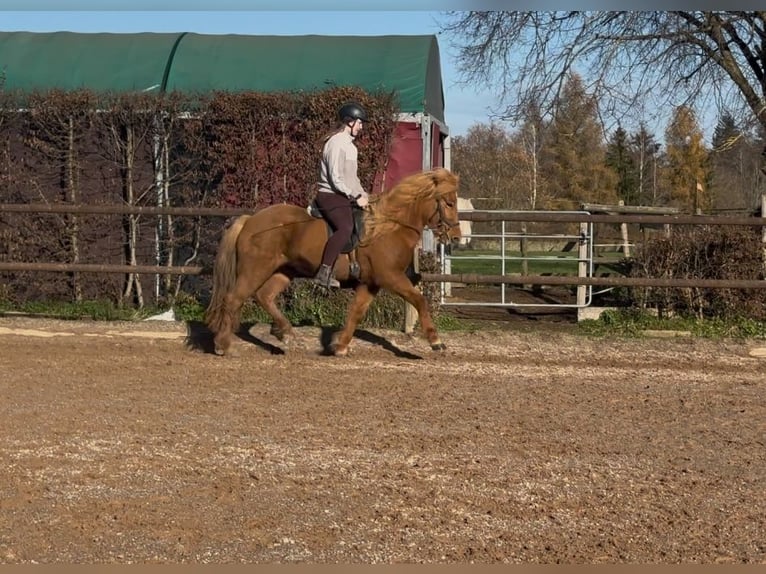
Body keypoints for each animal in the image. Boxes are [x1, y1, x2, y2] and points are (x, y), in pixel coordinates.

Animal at [204, 166, 464, 358]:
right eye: (449, 203)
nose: (456, 237)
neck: (389, 227)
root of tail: (249, 220)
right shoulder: (392, 278)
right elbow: (419, 300)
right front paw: (436, 341)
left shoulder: (370, 283)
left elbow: (356, 312)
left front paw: (340, 346)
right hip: (255, 270)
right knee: (233, 299)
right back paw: (223, 345)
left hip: (284, 271)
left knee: (264, 296)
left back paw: (285, 333)